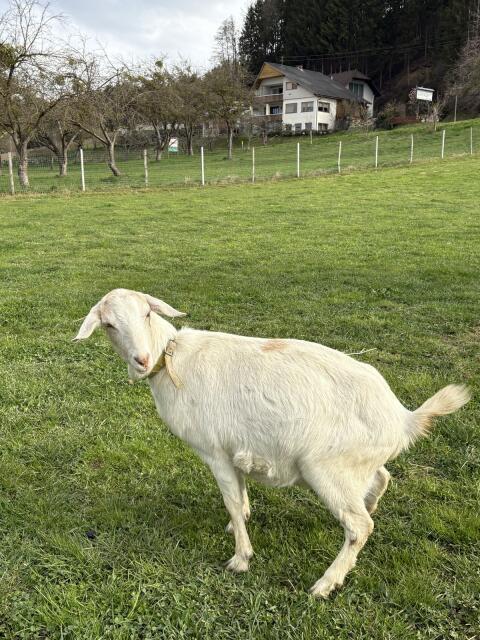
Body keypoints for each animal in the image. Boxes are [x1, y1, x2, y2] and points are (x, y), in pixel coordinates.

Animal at [74, 288, 470, 597]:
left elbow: (231, 500)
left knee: (360, 526)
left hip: (326, 467)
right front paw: (239, 525)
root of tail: (402, 418)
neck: (173, 360)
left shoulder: (214, 451)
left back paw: (325, 584)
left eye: (146, 313)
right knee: (381, 482)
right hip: (356, 463)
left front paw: (240, 558)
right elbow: (240, 493)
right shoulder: (235, 447)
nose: (141, 360)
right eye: (109, 325)